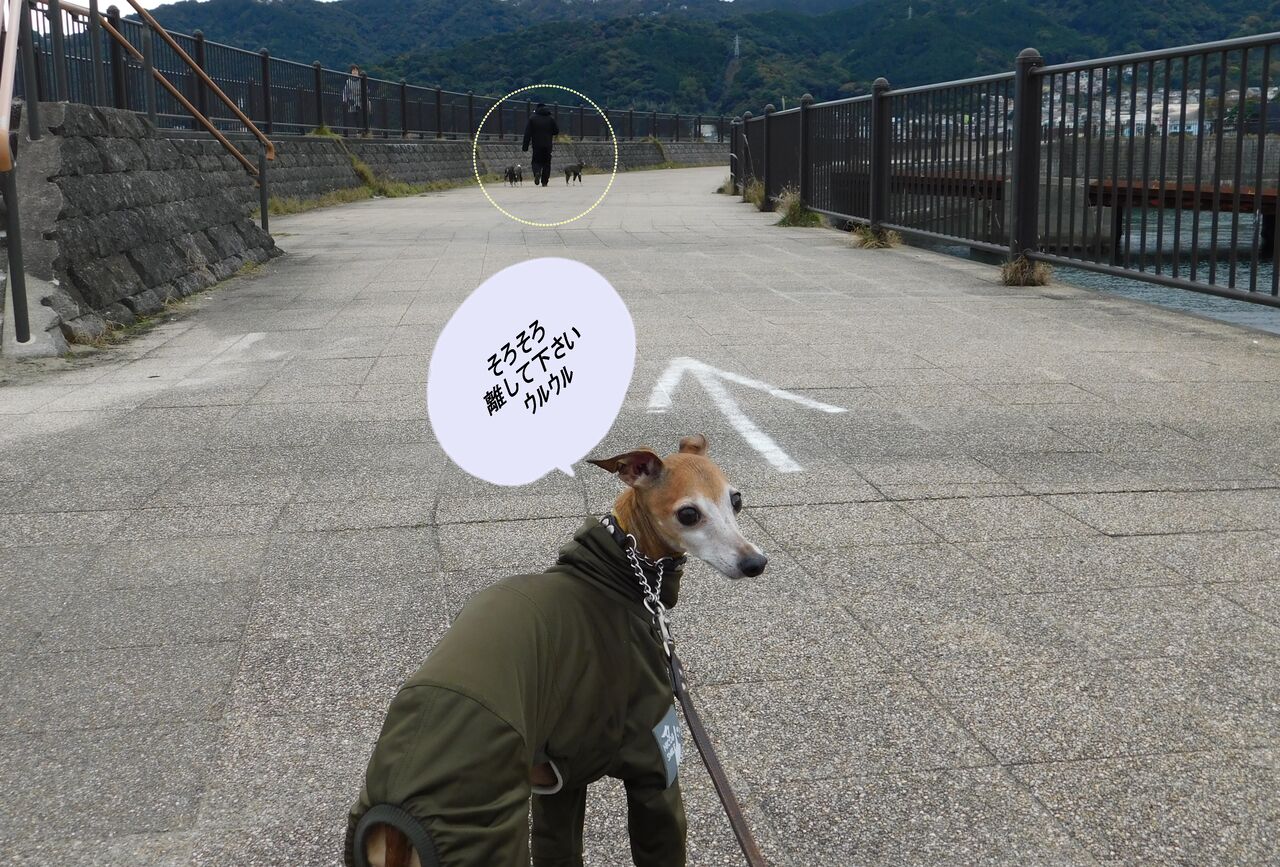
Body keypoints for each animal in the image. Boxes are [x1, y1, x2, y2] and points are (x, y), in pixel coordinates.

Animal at [346, 435, 766, 867]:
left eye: (735, 500)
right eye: (688, 513)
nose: (756, 562)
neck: (618, 568)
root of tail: (394, 809)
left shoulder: (561, 781)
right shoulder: (652, 762)